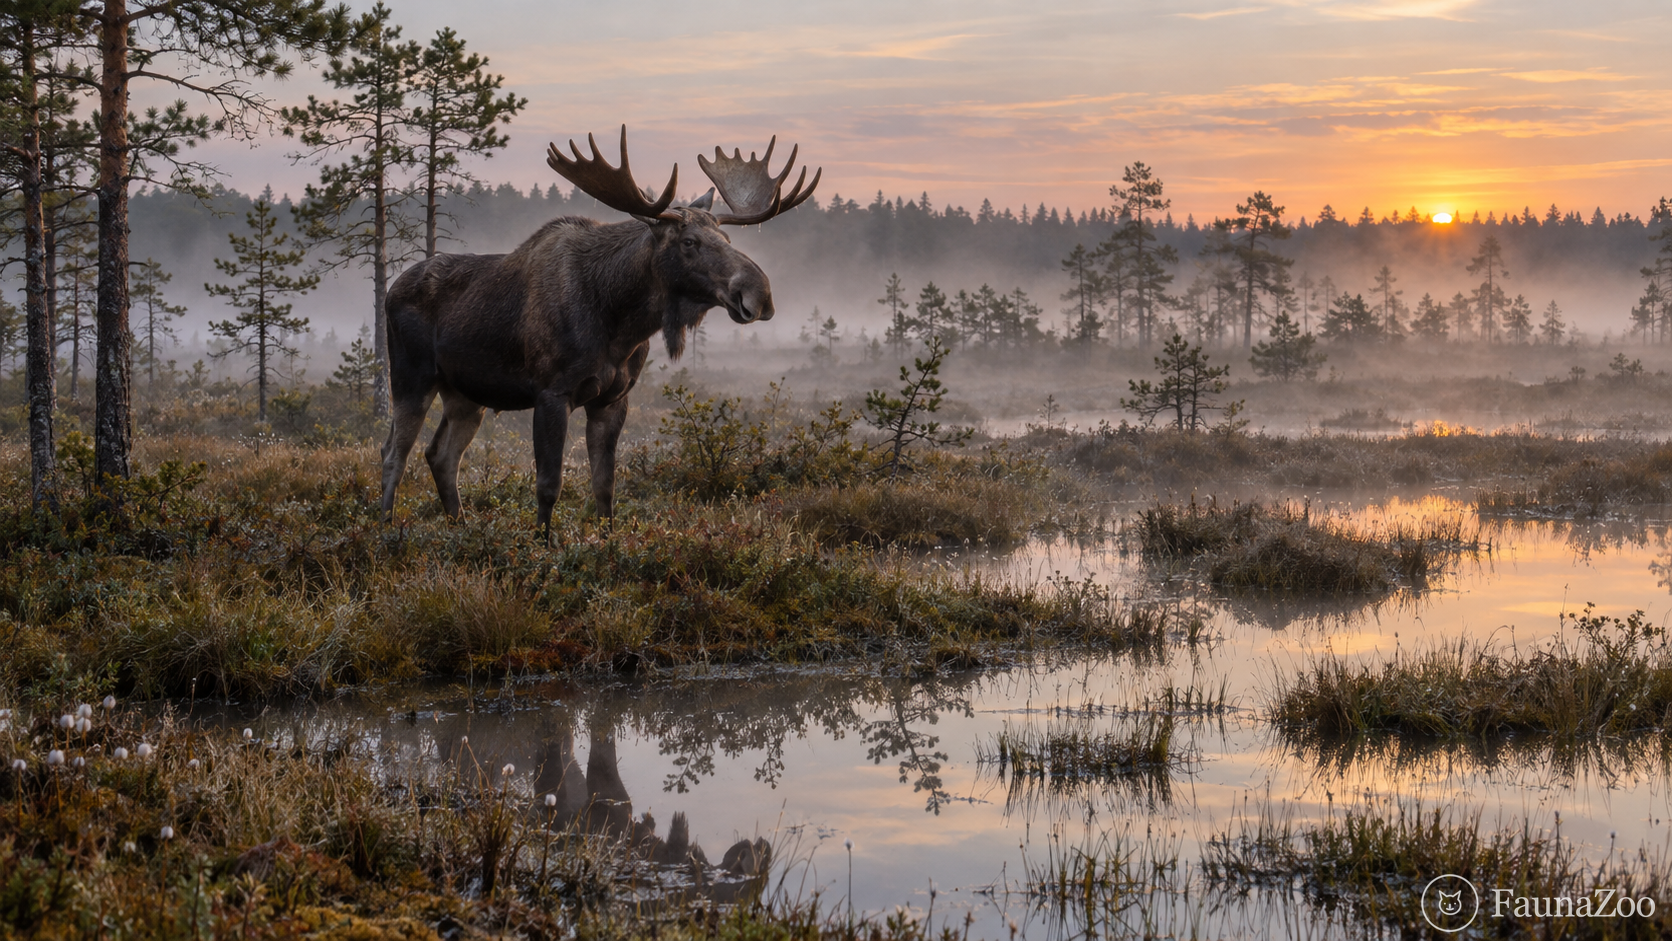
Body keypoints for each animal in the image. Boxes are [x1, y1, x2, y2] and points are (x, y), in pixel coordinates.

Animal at [379, 127, 819, 539]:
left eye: (726, 238)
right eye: (690, 242)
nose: (760, 293)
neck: (619, 323)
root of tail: (389, 291)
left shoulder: (613, 399)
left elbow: (604, 486)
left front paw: (606, 544)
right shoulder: (551, 393)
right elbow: (548, 485)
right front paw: (541, 546)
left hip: (467, 395)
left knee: (440, 456)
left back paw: (462, 528)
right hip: (411, 378)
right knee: (392, 454)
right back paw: (384, 530)